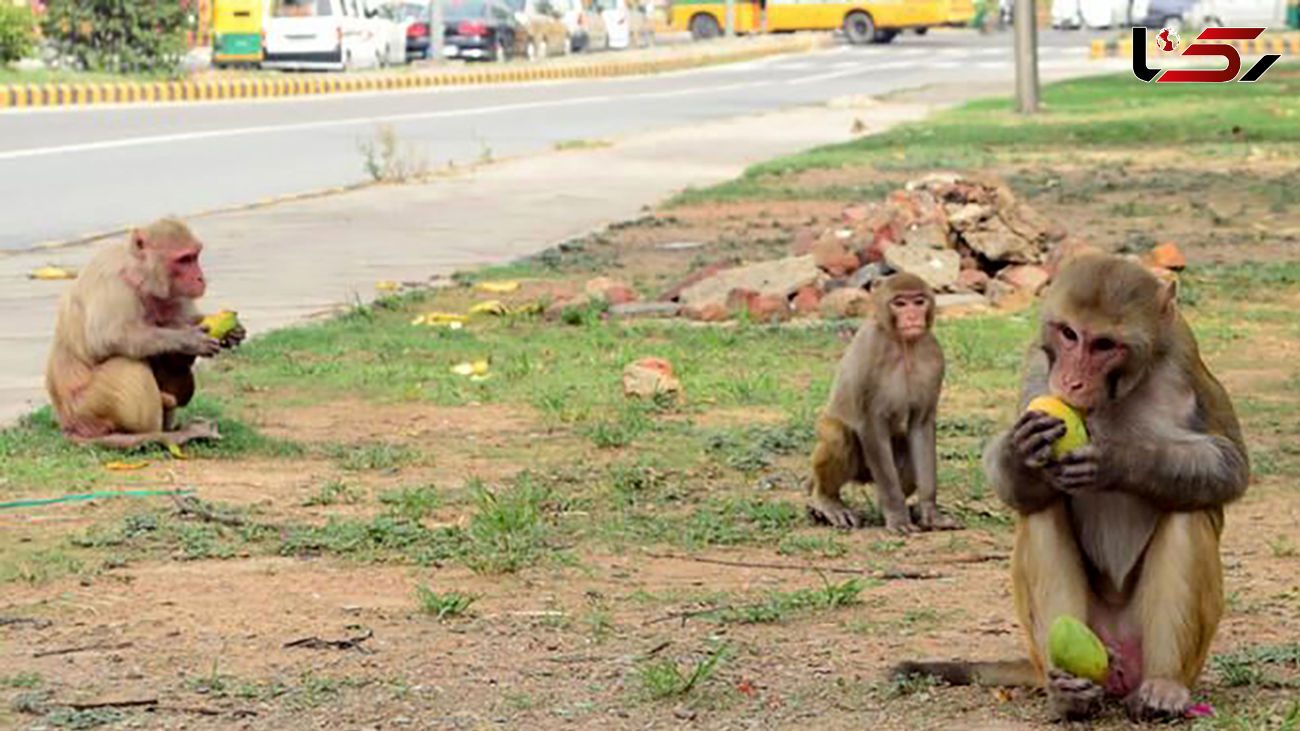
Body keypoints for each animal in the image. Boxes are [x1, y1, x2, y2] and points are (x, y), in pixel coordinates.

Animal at [45, 217, 244, 444]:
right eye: (184, 260)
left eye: (195, 256)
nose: (200, 278)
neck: (140, 276)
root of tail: (69, 426)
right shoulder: (112, 280)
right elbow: (108, 338)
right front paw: (189, 339)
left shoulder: (173, 294)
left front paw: (232, 332)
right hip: (86, 408)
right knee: (126, 364)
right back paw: (153, 435)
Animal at [800, 270, 956, 533]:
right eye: (900, 303)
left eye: (919, 301)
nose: (912, 316)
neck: (904, 346)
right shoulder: (870, 351)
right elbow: (870, 424)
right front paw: (898, 517)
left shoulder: (935, 357)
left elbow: (921, 427)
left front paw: (929, 511)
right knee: (836, 433)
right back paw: (827, 501)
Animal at [894, 253, 1248, 717]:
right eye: (1068, 334)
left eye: (1104, 345)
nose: (1071, 382)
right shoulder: (1038, 365)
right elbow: (1020, 492)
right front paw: (1021, 453)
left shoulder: (1184, 356)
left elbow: (1230, 464)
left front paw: (1118, 460)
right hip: (1061, 645)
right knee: (1041, 511)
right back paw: (1068, 693)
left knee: (1188, 511)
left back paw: (1163, 685)